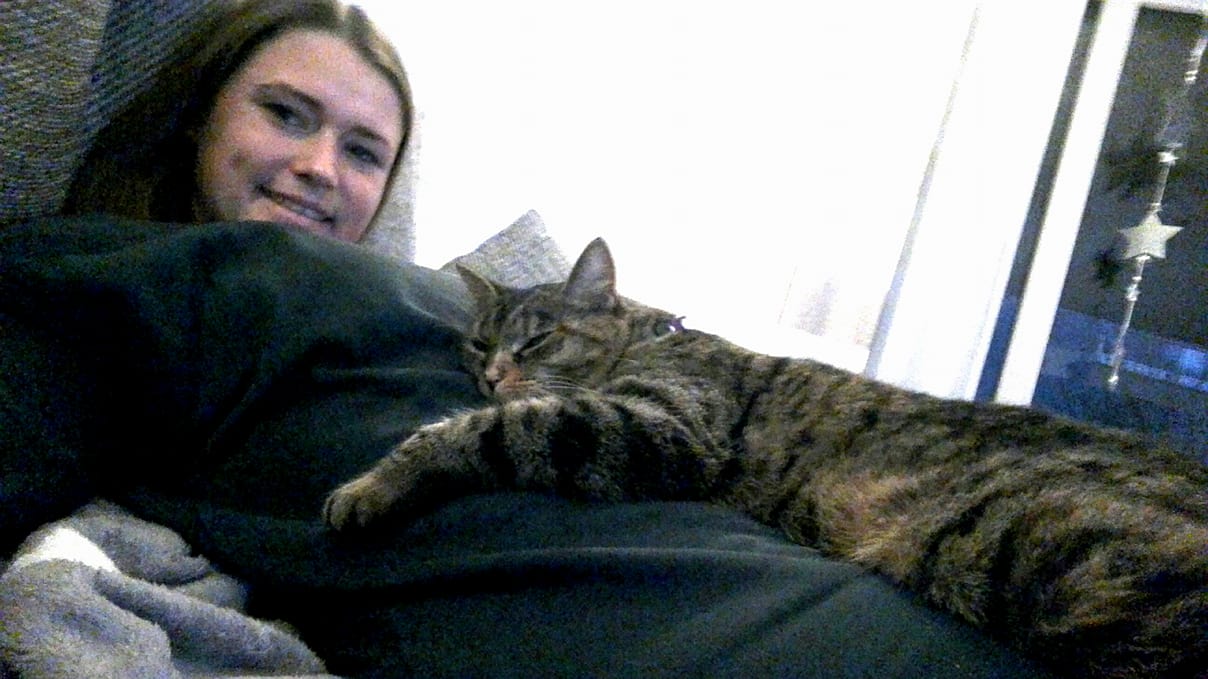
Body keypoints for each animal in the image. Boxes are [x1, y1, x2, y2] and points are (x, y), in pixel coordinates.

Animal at [324, 237, 1208, 679]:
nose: (495, 371)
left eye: (537, 340)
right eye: (480, 343)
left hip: (1066, 557)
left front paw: (375, 483)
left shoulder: (660, 424)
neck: (649, 339)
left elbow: (482, 428)